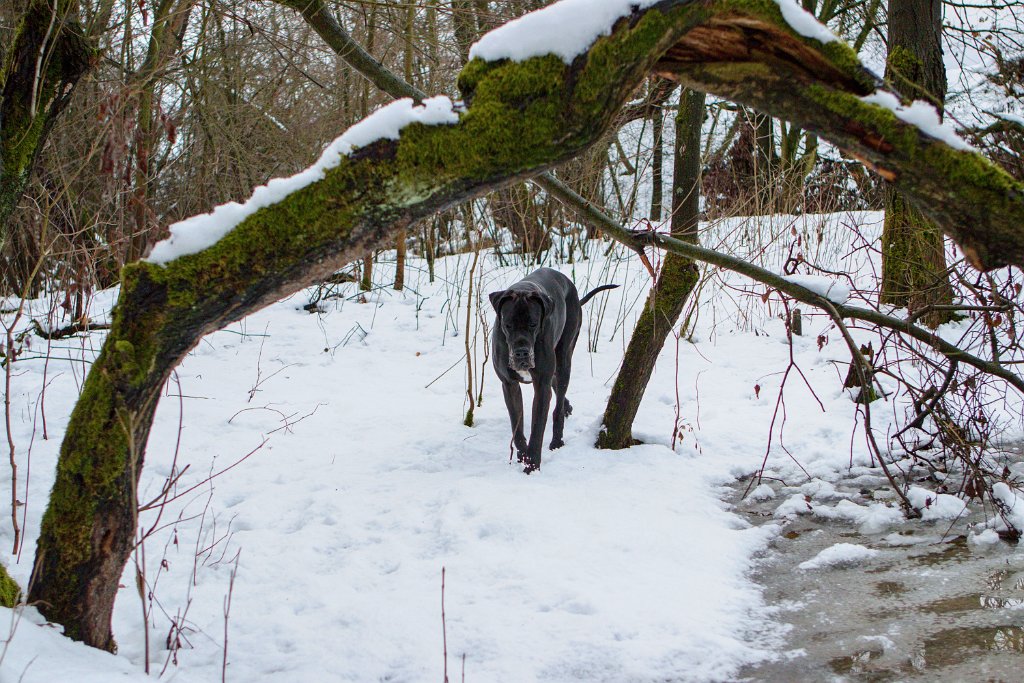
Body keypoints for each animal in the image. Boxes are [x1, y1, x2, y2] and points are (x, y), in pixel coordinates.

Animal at [491, 270, 618, 473]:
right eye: (507, 324)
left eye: (533, 324)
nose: (521, 353)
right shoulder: (509, 385)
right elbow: (516, 427)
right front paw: (522, 455)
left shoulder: (541, 386)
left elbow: (537, 428)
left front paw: (532, 465)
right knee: (557, 387)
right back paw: (567, 406)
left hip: (564, 357)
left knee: (557, 404)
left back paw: (557, 439)